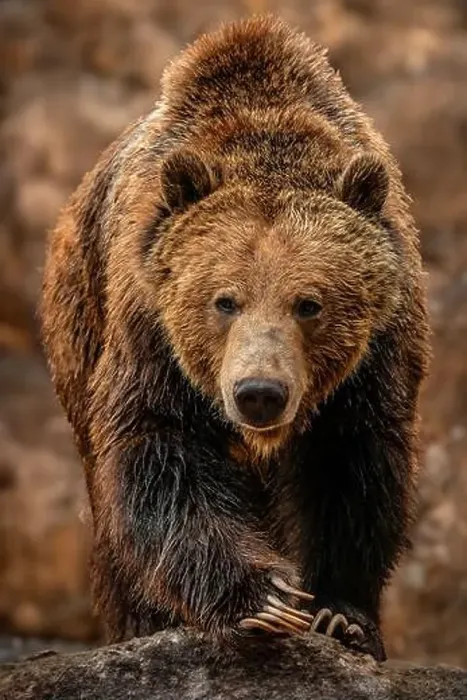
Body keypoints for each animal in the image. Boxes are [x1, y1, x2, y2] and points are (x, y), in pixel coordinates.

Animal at [40, 15, 430, 661]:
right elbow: (161, 454)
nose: (259, 393)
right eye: (225, 300)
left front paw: (341, 616)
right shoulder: (149, 331)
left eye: (309, 303)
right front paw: (262, 599)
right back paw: (143, 618)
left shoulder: (376, 356)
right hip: (78, 335)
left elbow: (355, 469)